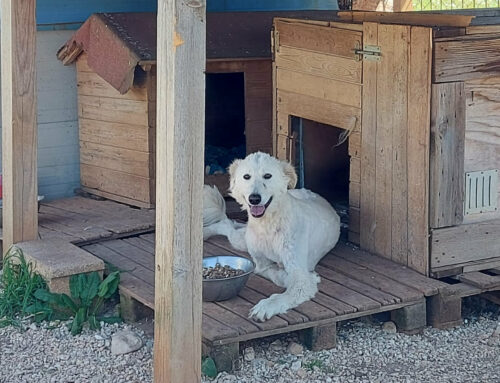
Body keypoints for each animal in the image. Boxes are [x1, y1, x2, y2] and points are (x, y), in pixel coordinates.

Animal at [202, 152, 340, 322]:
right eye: (246, 176)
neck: (267, 225)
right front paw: (286, 277)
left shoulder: (299, 275)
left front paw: (265, 306)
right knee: (226, 224)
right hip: (242, 241)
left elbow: (287, 289)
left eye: (267, 176)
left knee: (228, 224)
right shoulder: (261, 265)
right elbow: (275, 274)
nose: (254, 199)